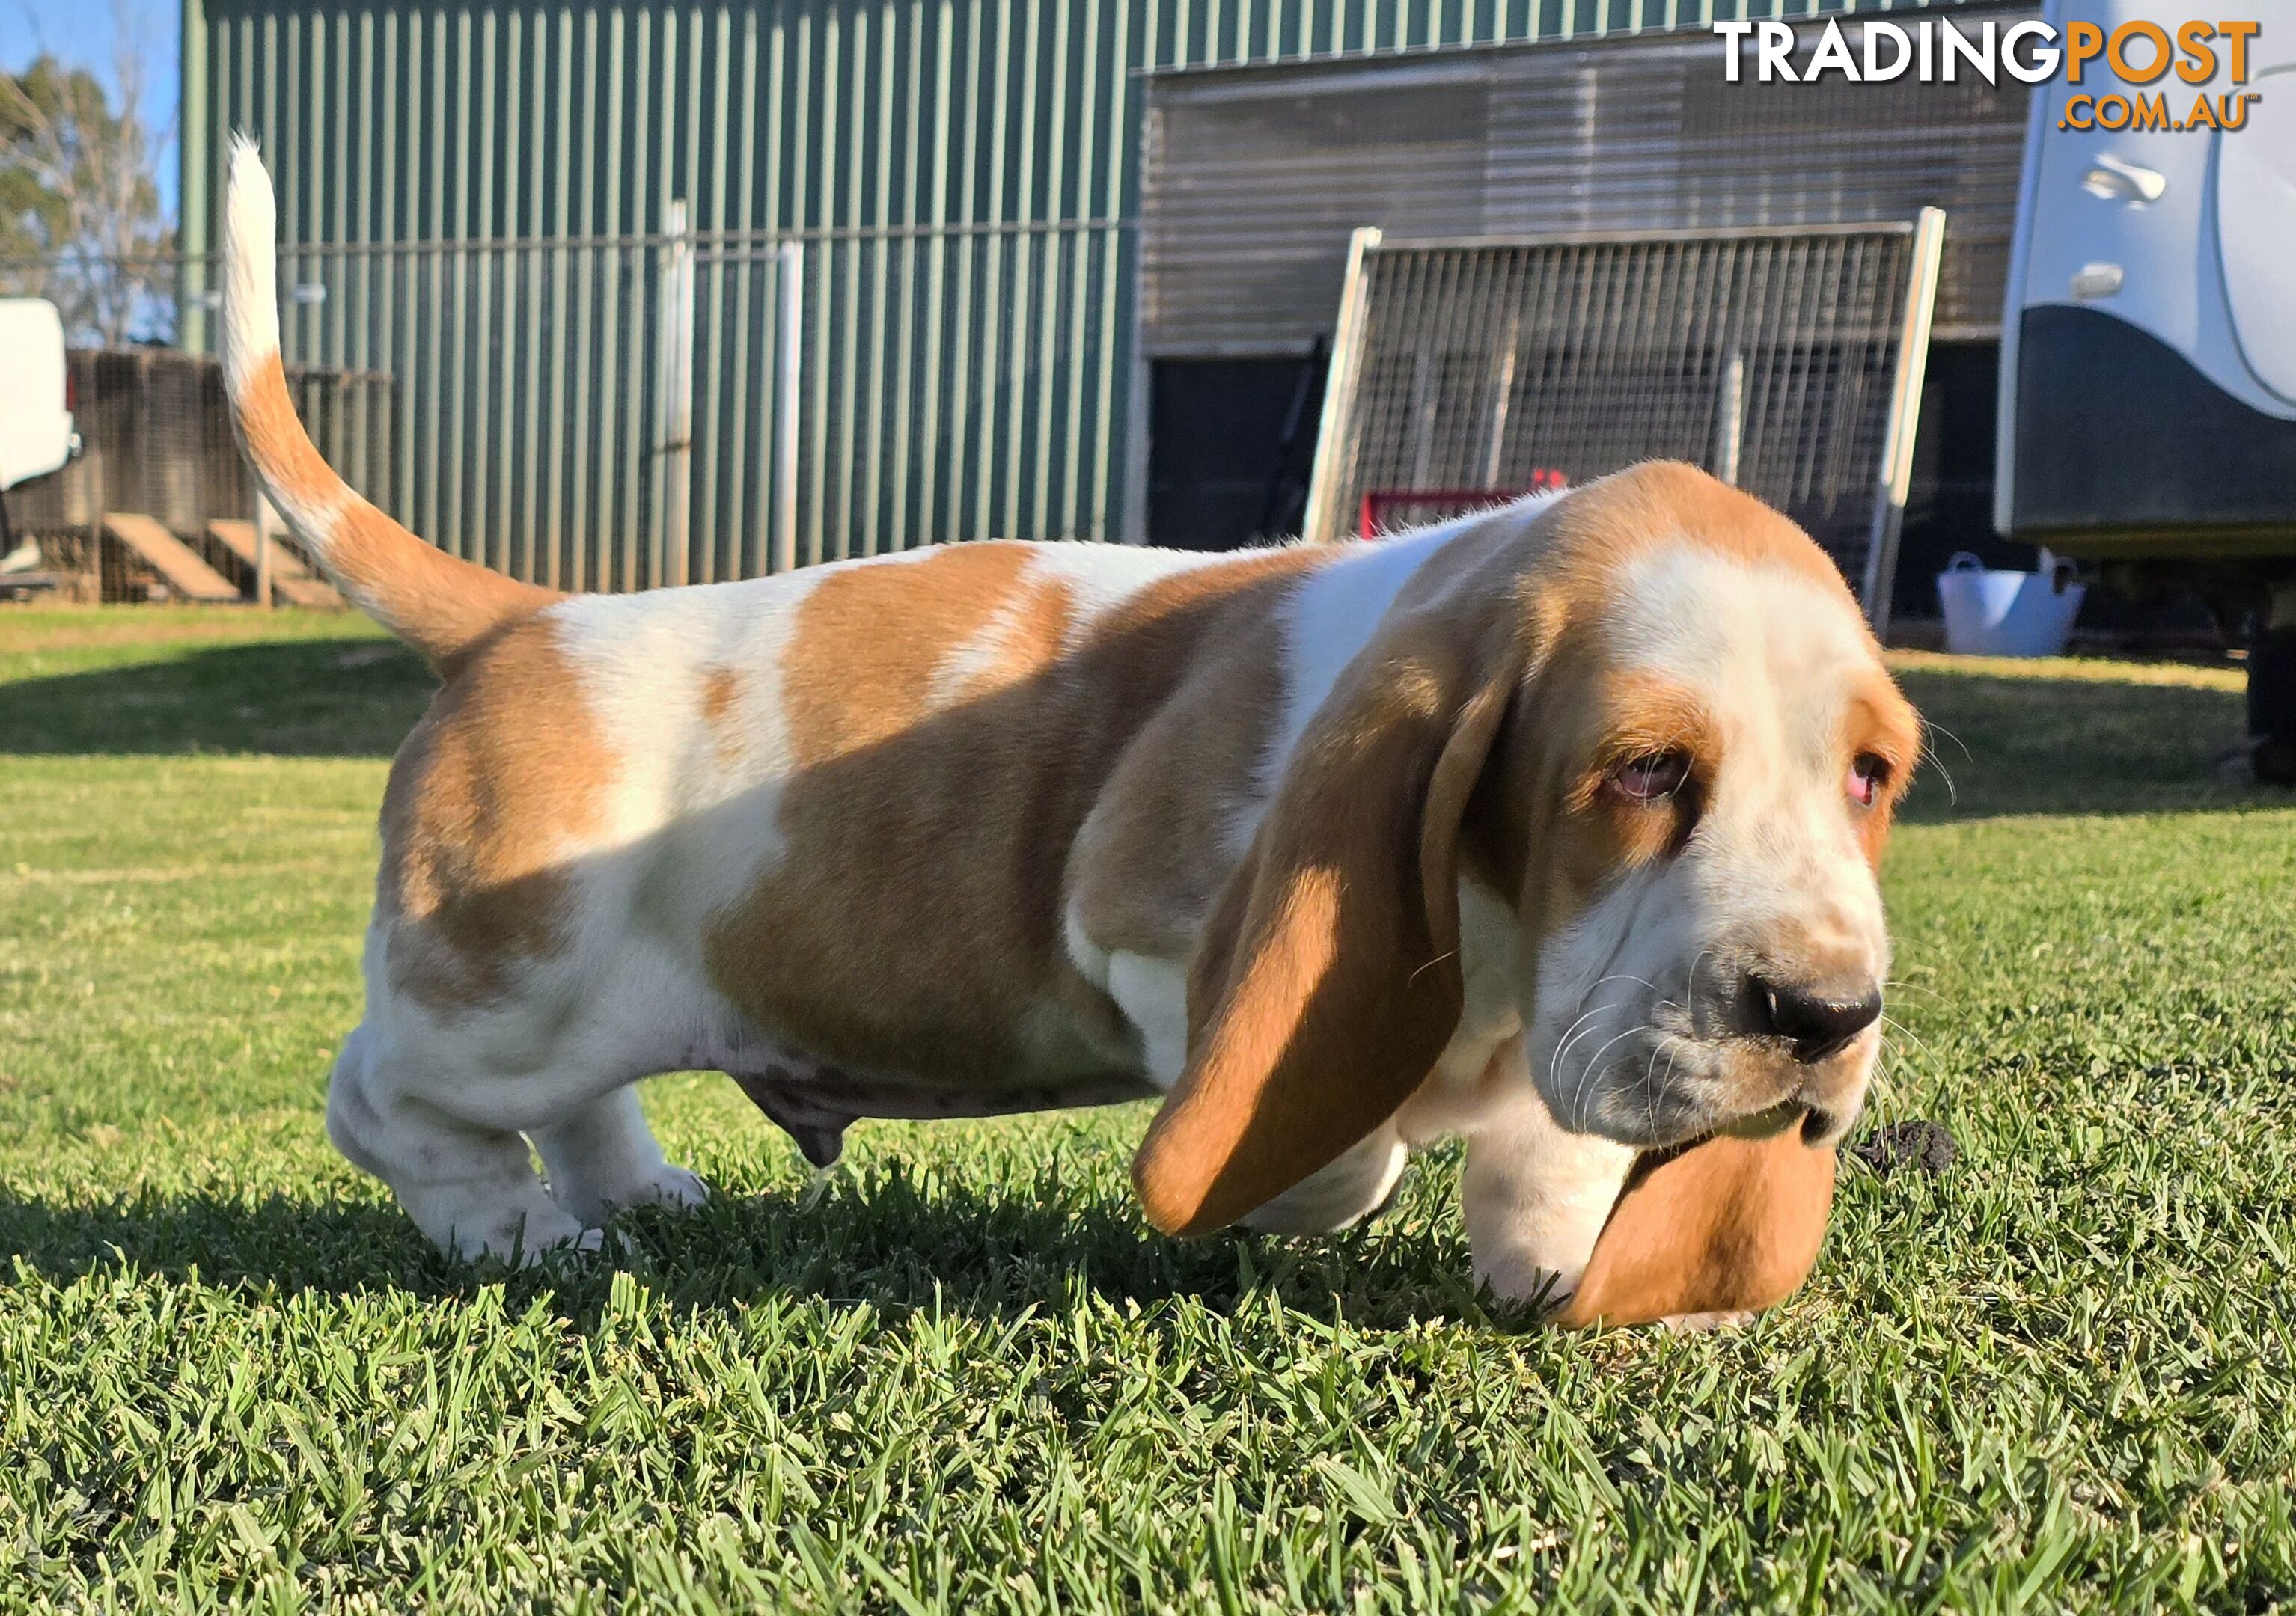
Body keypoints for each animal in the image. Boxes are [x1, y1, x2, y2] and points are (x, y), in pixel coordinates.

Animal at [219, 142, 1919, 1322]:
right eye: (1641, 771)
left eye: (1870, 775)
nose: (1825, 1017)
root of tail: (526, 617)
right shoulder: (1148, 936)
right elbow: (1339, 1146)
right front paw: (1307, 1192)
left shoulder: (1576, 1021)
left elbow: (1552, 1133)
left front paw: (1546, 1254)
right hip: (505, 1000)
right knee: (381, 1097)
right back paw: (510, 1228)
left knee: (575, 1103)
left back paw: (638, 1193)